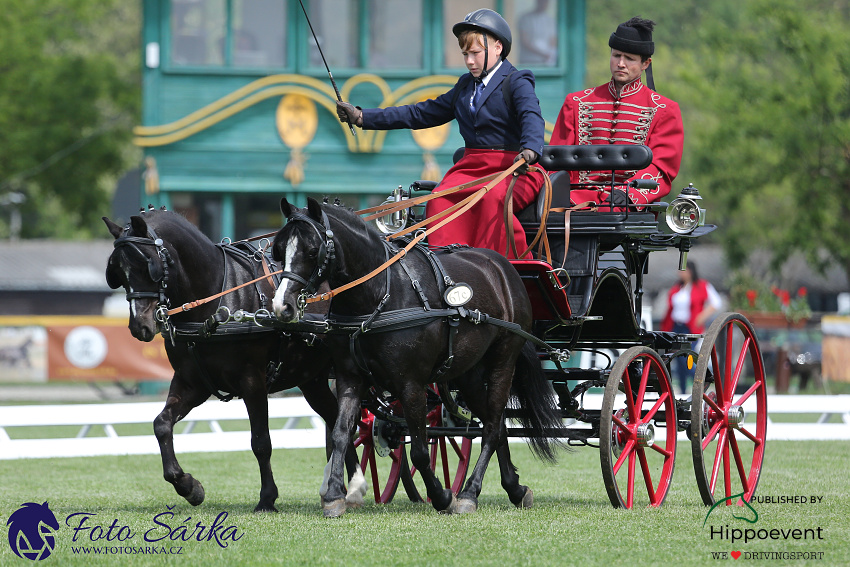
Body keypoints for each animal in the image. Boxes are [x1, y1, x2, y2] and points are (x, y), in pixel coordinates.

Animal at [102, 210, 362, 516]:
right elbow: (161, 424)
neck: (213, 301)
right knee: (338, 421)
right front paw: (188, 486)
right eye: (117, 272)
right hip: (312, 380)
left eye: (147, 265)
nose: (139, 326)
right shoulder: (192, 383)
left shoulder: (253, 381)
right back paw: (350, 488)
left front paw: (267, 499)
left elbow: (260, 442)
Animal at [272, 197, 564, 516]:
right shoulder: (351, 377)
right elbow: (341, 433)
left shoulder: (411, 385)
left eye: (313, 251)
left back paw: (469, 493)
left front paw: (442, 496)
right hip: (469, 373)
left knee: (490, 427)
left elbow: (421, 451)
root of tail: (504, 267)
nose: (281, 306)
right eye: (279, 250)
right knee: (496, 424)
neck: (379, 294)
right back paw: (514, 488)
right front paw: (336, 495)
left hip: (504, 362)